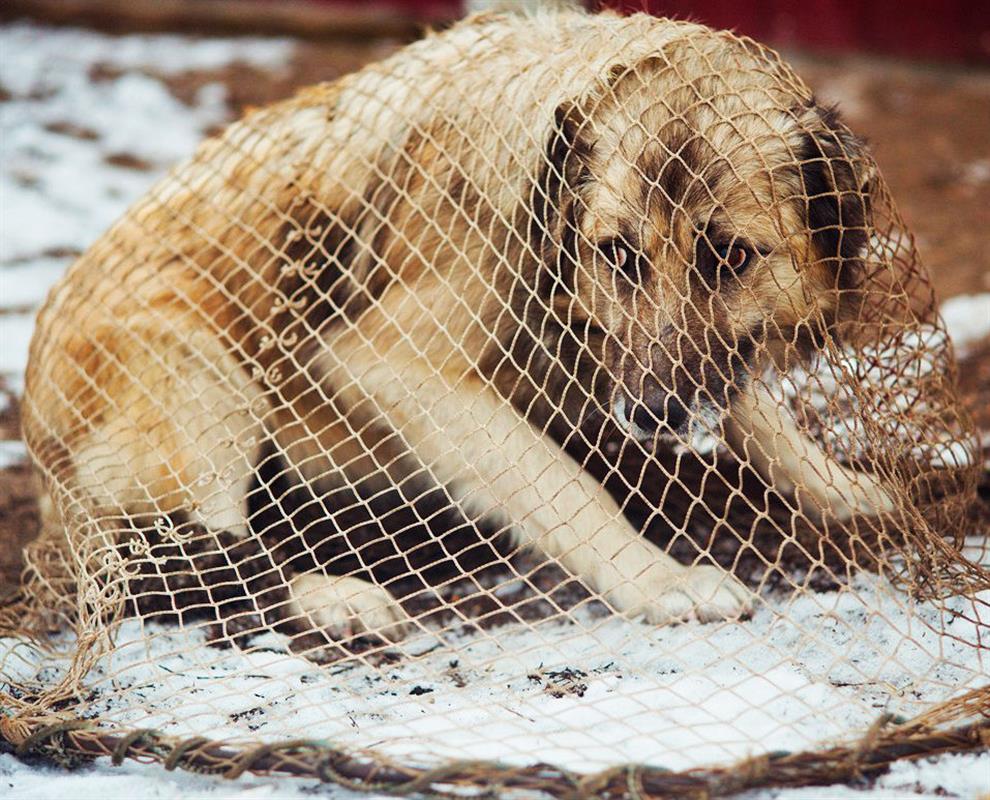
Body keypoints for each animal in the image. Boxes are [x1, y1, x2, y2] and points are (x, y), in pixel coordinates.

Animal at [23, 9, 896, 640]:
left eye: (733, 256)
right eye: (617, 254)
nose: (653, 418)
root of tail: (38, 452)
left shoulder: (698, 360)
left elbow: (760, 411)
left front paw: (842, 489)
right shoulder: (385, 363)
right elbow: (563, 485)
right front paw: (659, 579)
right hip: (207, 380)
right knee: (181, 568)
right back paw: (334, 599)